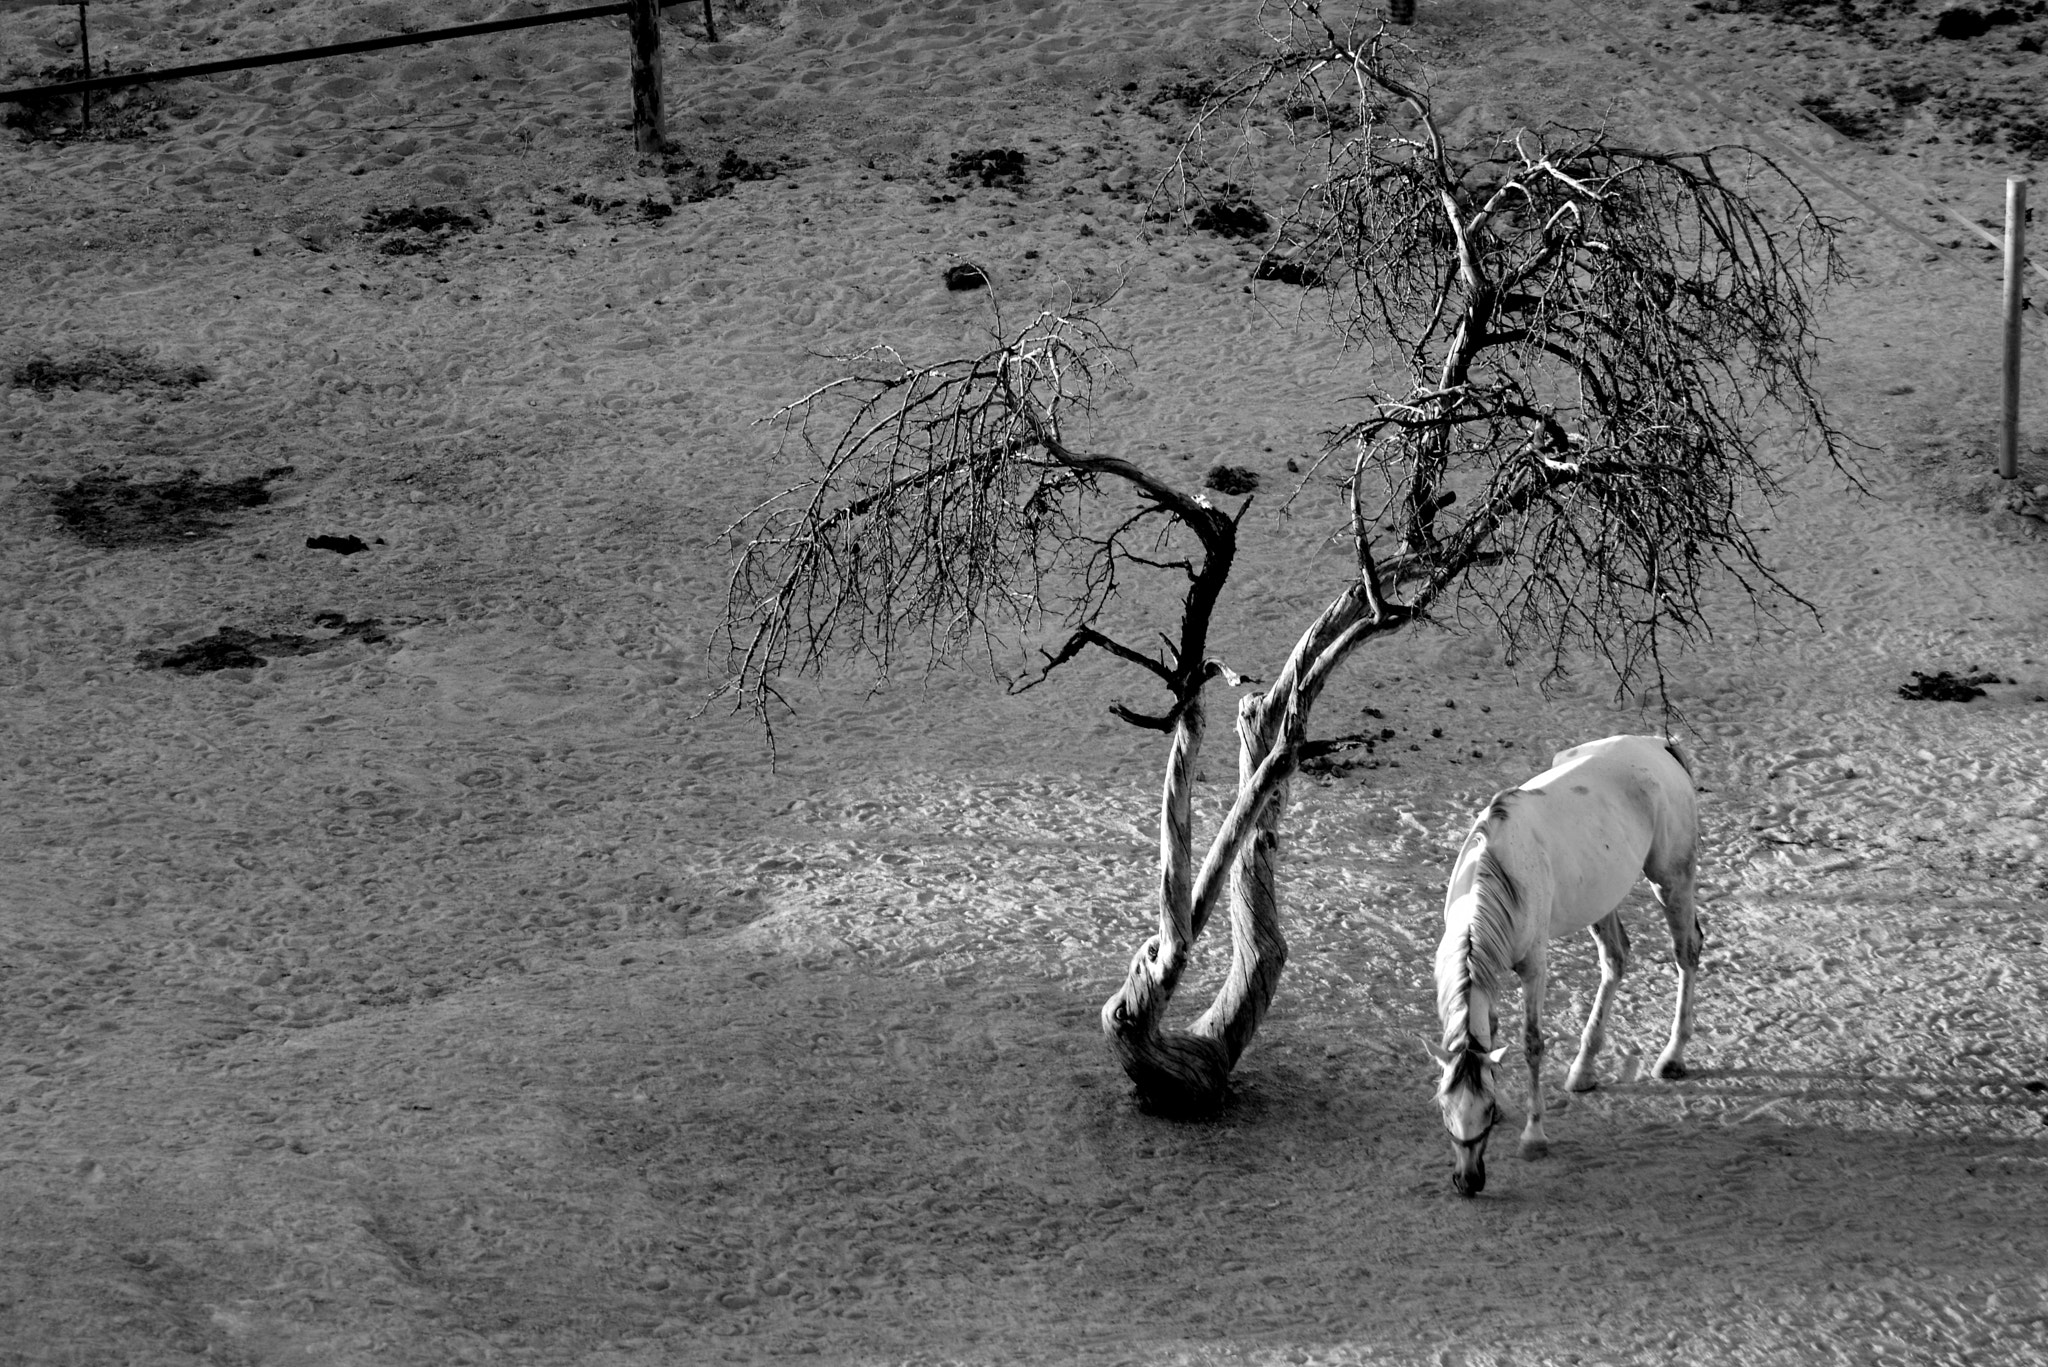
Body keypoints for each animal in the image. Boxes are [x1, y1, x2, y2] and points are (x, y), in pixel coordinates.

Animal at [1426, 733, 1702, 1197]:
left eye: (1486, 1108)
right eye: (1444, 1105)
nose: (1467, 1181)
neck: (1498, 870)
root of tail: (1656, 745)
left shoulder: (1533, 967)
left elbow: (1531, 1044)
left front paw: (1533, 1137)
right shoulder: (1487, 969)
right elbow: (1491, 1030)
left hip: (1672, 881)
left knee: (1687, 952)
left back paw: (1671, 1057)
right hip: (1602, 899)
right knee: (1616, 959)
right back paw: (1583, 1068)